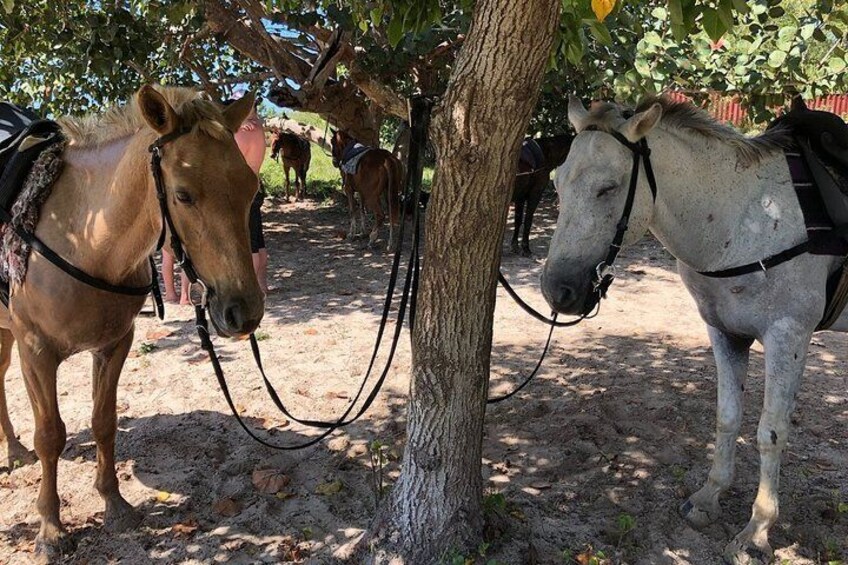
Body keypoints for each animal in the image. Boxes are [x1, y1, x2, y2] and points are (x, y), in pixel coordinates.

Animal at [0, 85, 264, 560]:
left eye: (250, 186)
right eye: (183, 195)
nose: (244, 312)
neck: (84, 237)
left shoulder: (115, 344)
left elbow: (104, 421)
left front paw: (115, 504)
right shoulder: (37, 352)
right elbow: (49, 435)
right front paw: (50, 530)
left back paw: (12, 448)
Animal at [544, 97, 848, 564]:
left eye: (608, 188)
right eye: (557, 183)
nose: (557, 291)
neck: (743, 222)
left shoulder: (788, 337)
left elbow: (771, 431)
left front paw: (757, 532)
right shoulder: (725, 333)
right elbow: (727, 417)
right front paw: (709, 497)